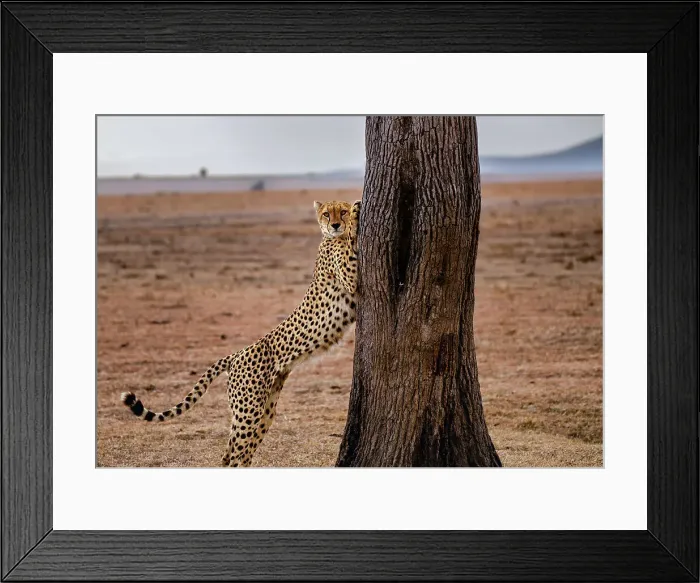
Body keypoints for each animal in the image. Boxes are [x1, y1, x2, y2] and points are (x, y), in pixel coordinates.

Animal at [121, 199, 361, 467]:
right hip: (249, 410)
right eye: (327, 214)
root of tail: (236, 354)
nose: (336, 224)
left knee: (237, 453)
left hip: (264, 410)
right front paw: (357, 214)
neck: (330, 238)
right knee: (232, 454)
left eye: (340, 211)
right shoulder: (349, 278)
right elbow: (351, 247)